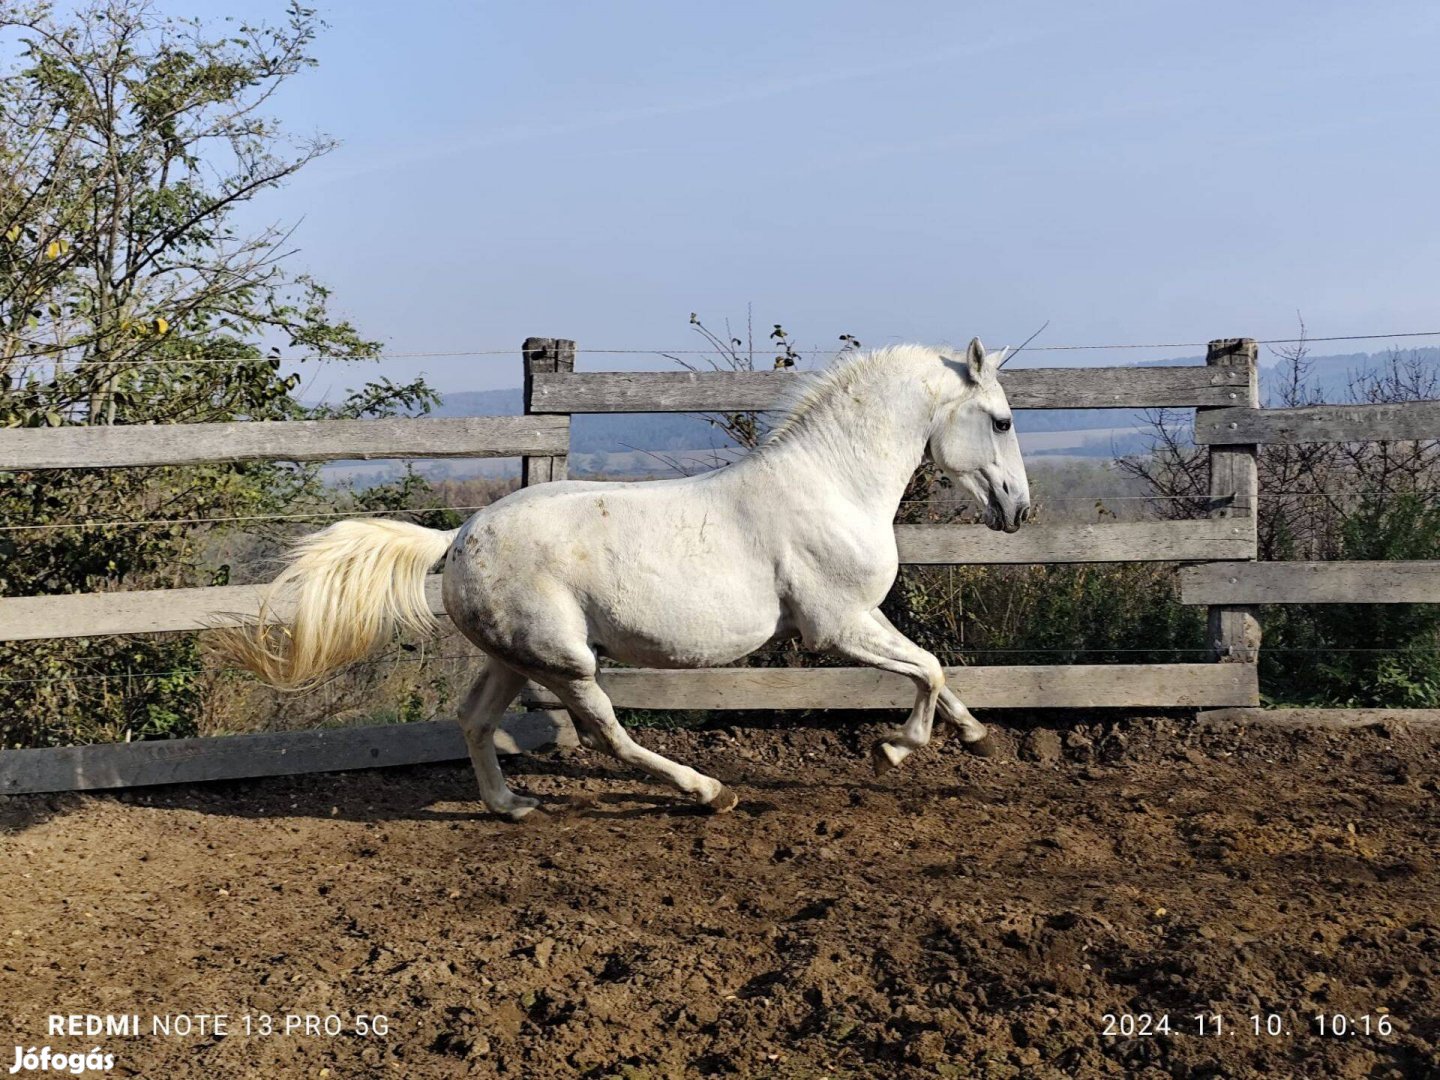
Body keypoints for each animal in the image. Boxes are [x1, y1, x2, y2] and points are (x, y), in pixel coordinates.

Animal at [221, 342, 1025, 823]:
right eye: (1002, 420)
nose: (1019, 510)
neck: (832, 483)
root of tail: (458, 539)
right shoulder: (836, 626)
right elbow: (927, 669)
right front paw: (896, 749)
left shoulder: (861, 617)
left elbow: (934, 669)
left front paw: (978, 740)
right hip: (568, 663)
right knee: (606, 735)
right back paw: (707, 791)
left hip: (516, 657)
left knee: (474, 720)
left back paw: (511, 806)